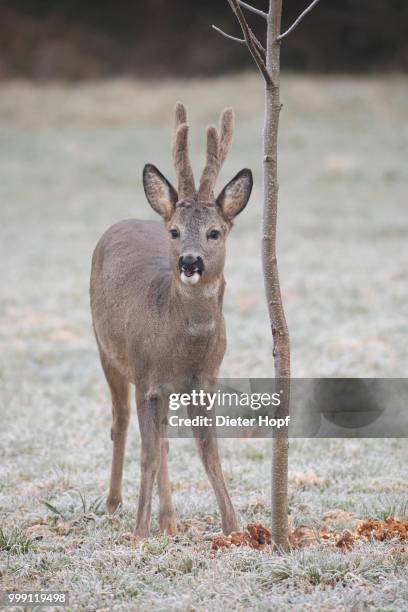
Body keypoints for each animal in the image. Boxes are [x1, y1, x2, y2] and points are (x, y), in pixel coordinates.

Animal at [91, 103, 253, 536]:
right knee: (120, 422)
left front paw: (234, 527)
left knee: (162, 439)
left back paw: (169, 519)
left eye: (215, 232)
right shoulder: (146, 375)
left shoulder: (204, 380)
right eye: (176, 231)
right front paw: (139, 532)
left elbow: (207, 451)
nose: (190, 262)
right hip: (107, 350)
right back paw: (114, 504)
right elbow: (148, 452)